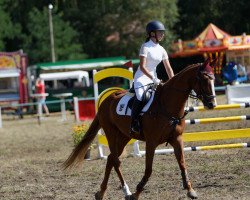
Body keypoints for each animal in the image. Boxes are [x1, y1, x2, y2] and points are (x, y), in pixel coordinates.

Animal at [63, 59, 216, 200]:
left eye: (213, 79)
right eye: (204, 79)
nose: (211, 104)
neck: (167, 105)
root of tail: (106, 100)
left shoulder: (177, 139)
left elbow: (182, 164)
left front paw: (190, 190)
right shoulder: (151, 142)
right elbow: (148, 169)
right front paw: (137, 193)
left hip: (124, 136)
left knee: (111, 159)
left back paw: (101, 192)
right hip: (111, 133)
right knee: (116, 161)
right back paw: (126, 191)